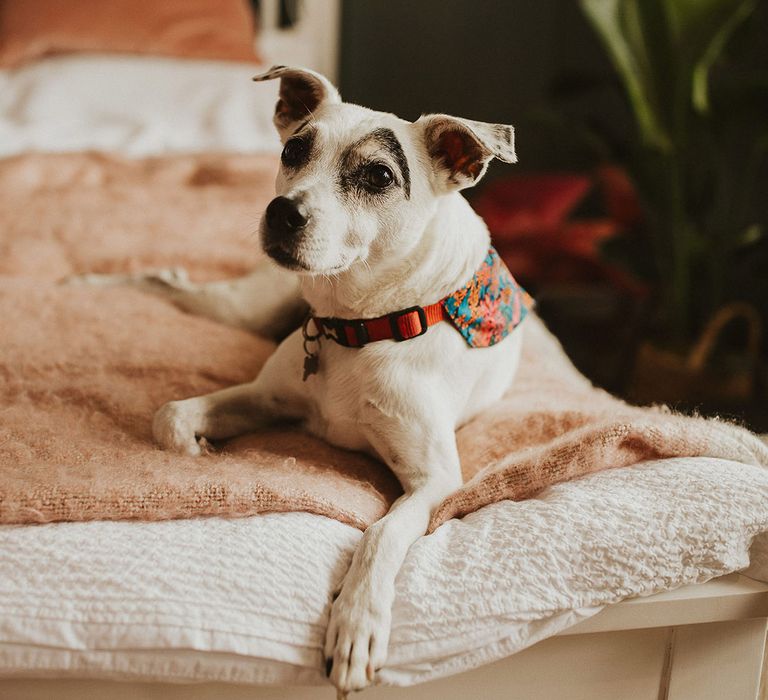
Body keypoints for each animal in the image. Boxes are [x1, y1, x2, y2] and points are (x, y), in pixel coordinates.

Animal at [69, 67, 528, 696]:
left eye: (379, 176)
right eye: (293, 151)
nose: (282, 212)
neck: (356, 326)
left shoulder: (434, 482)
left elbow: (382, 535)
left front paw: (356, 626)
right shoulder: (266, 397)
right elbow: (172, 415)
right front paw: (200, 454)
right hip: (245, 309)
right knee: (166, 283)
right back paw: (85, 285)